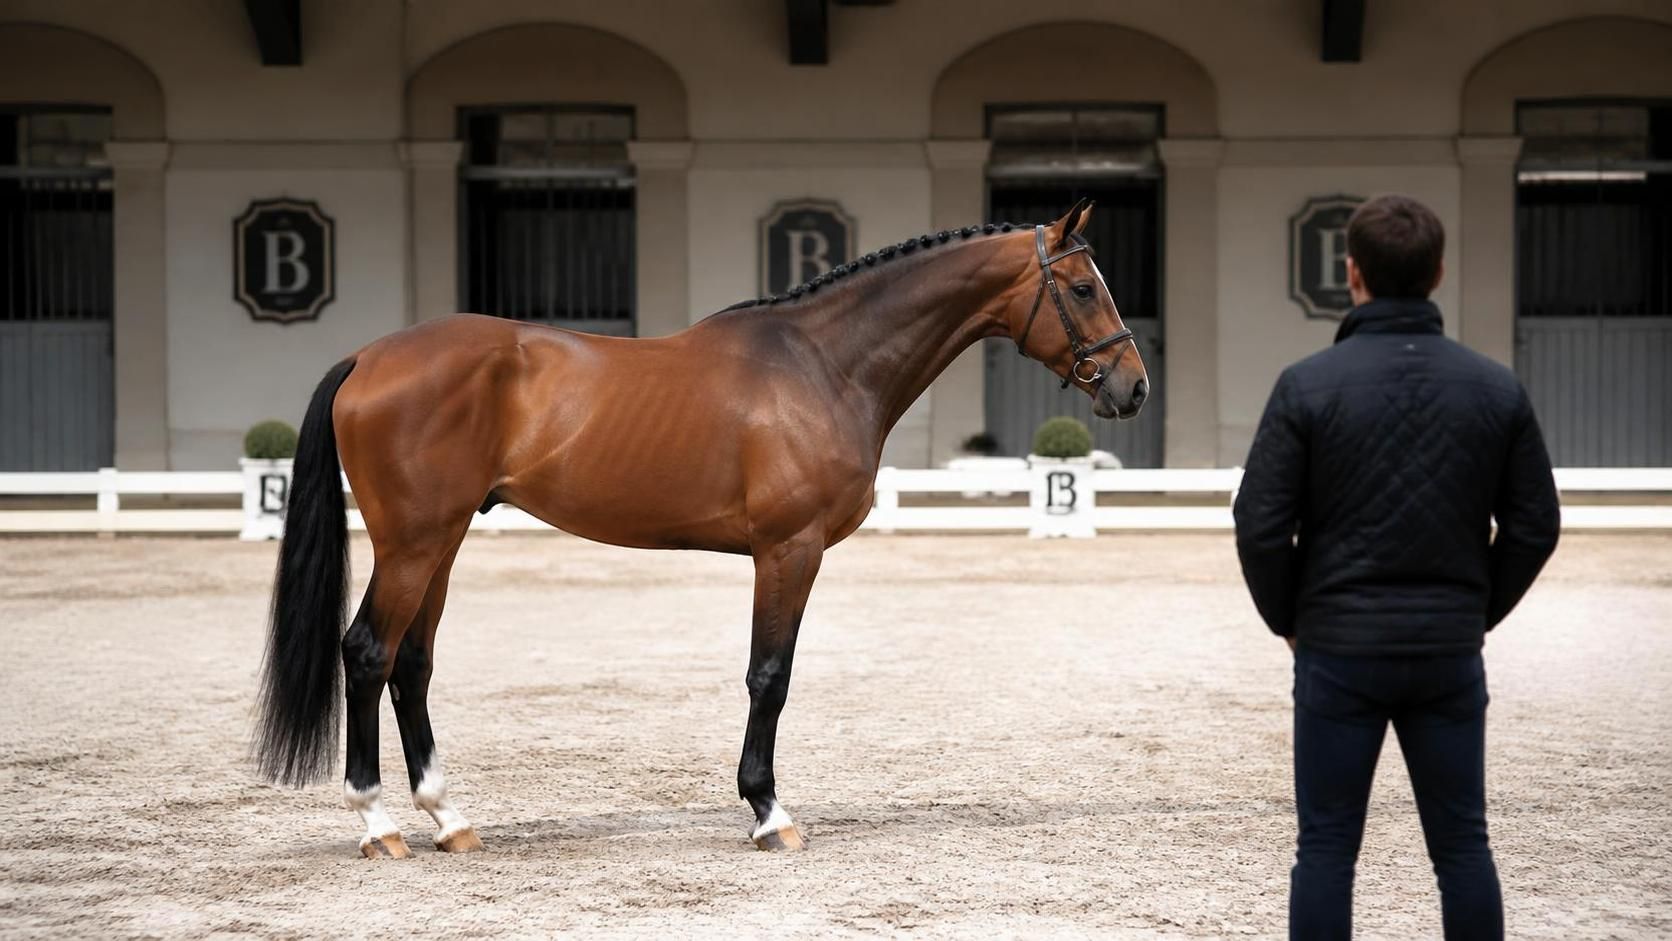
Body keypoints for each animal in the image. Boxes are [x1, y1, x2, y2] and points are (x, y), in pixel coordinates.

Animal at [252, 200, 1150, 858]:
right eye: (1081, 288)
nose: (1133, 387)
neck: (824, 364)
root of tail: (369, 358)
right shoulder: (789, 549)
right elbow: (770, 676)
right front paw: (769, 811)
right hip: (412, 542)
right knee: (368, 653)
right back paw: (379, 825)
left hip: (439, 542)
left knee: (411, 664)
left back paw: (449, 819)